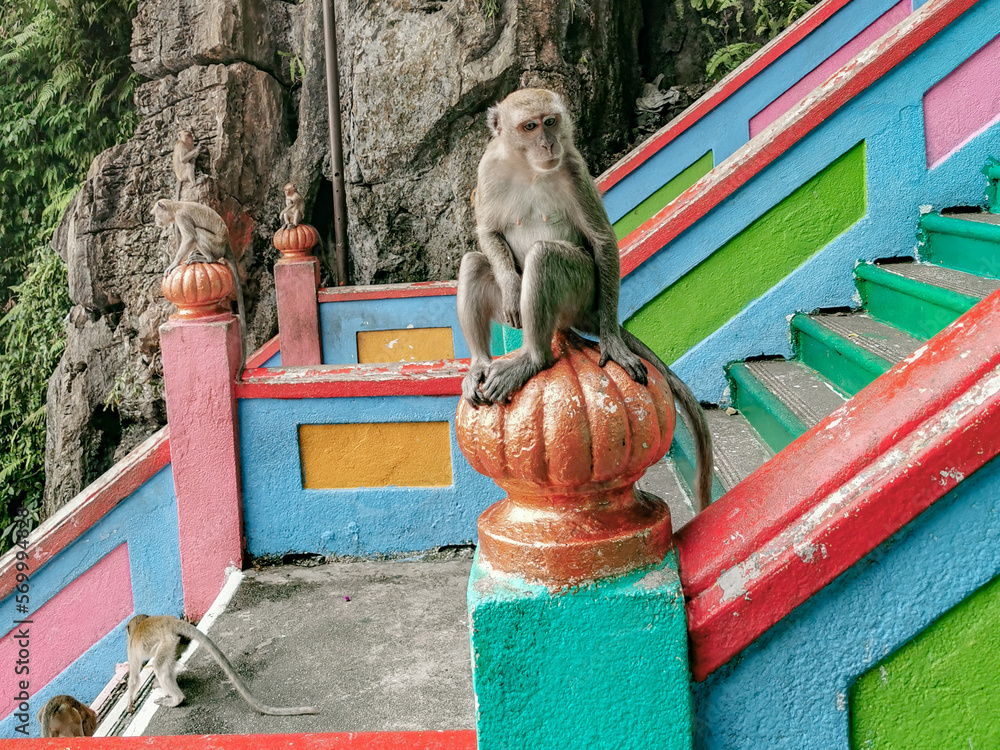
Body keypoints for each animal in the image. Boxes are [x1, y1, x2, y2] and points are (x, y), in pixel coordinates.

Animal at [125, 614, 319, 716]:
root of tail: (172, 621)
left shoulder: (131, 649)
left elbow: (134, 679)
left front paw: (130, 704)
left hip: (168, 641)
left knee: (160, 667)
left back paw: (177, 699)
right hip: (178, 641)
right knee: (168, 664)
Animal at [154, 199, 246, 377]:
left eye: (156, 214)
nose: (156, 221)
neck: (176, 206)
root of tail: (226, 245)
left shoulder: (181, 217)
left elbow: (190, 237)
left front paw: (174, 263)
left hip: (215, 245)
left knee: (198, 233)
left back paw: (208, 258)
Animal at [457, 88, 714, 512]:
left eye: (551, 121)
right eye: (530, 126)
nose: (549, 144)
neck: (528, 168)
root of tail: (583, 315)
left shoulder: (573, 169)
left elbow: (602, 240)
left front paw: (610, 340)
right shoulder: (487, 169)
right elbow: (488, 232)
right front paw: (510, 287)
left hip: (580, 292)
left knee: (546, 256)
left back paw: (533, 359)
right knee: (475, 262)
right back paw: (480, 364)